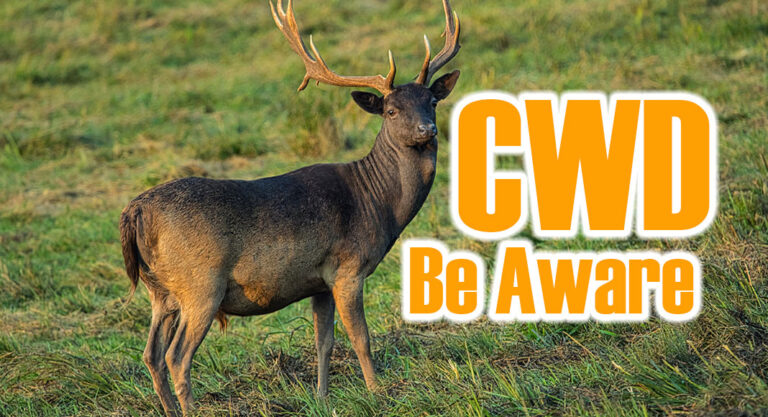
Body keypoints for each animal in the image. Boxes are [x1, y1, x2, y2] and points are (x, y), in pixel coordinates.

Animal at [119, 0, 460, 415]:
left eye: (432, 101)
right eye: (391, 111)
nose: (428, 130)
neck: (377, 204)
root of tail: (135, 212)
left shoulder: (320, 279)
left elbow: (324, 342)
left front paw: (322, 397)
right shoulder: (349, 268)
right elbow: (361, 338)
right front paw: (378, 393)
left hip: (161, 291)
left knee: (151, 355)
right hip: (201, 284)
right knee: (177, 357)